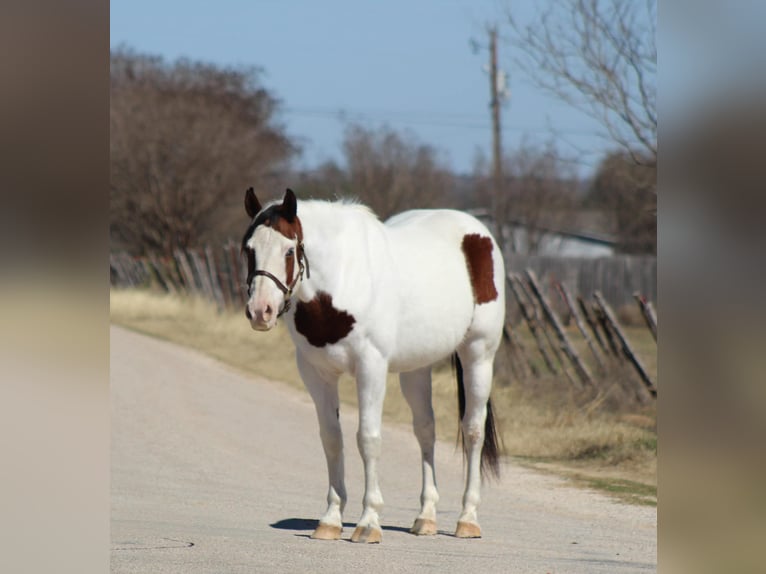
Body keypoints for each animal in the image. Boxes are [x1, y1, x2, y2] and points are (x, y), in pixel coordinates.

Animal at [241, 188, 505, 543]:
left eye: (289, 250)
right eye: (249, 249)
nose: (261, 311)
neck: (342, 279)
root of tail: (477, 231)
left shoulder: (371, 368)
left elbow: (368, 438)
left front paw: (368, 522)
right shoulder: (316, 373)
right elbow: (332, 439)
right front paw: (330, 519)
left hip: (479, 354)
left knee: (473, 429)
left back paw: (467, 519)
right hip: (415, 369)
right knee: (426, 430)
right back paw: (426, 517)